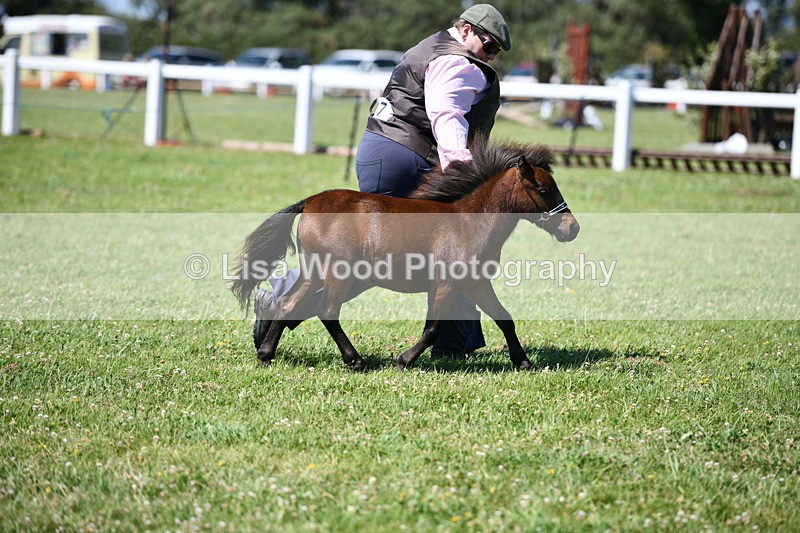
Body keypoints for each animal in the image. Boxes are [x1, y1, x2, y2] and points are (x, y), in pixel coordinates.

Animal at [230, 136, 579, 371]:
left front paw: (524, 361)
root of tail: (311, 202)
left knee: (290, 303)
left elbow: (505, 318)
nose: (572, 228)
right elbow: (433, 327)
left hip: (316, 271)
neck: (469, 222)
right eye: (545, 190)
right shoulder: (447, 285)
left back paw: (265, 353)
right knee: (326, 310)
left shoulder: (476, 283)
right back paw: (356, 361)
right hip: (338, 274)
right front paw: (405, 360)